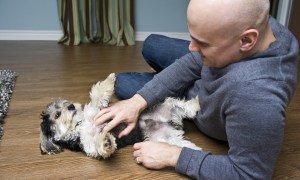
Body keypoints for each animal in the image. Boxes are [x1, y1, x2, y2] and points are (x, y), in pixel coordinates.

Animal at [39, 73, 199, 159]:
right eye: (57, 114)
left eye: (65, 103)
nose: (71, 106)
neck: (80, 124)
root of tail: (172, 123)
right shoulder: (88, 145)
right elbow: (97, 146)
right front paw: (106, 142)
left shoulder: (98, 110)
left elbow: (97, 95)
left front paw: (110, 79)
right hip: (165, 138)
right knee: (181, 143)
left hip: (166, 107)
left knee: (181, 106)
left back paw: (196, 104)